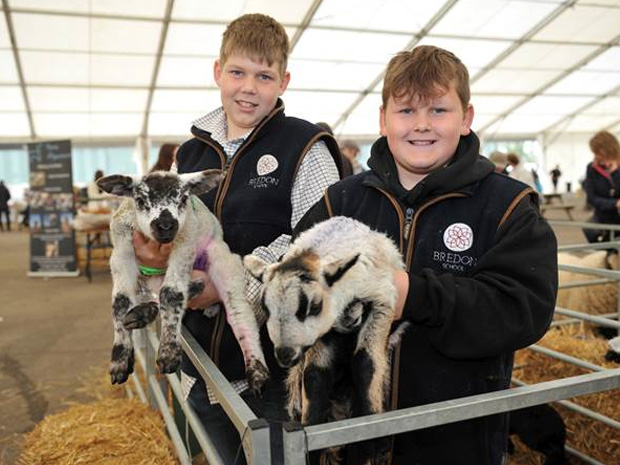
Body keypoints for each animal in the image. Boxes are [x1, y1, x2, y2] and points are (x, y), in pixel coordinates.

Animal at [97, 170, 268, 393]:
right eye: (140, 200)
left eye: (183, 199)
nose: (166, 225)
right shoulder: (122, 252)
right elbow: (120, 302)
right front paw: (120, 360)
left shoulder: (185, 243)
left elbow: (171, 293)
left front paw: (169, 352)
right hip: (153, 274)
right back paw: (146, 311)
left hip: (223, 259)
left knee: (239, 313)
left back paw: (257, 371)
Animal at [244, 216, 405, 464]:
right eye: (265, 307)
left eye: (313, 307)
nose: (285, 355)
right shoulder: (325, 334)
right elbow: (314, 375)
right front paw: (309, 433)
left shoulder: (382, 302)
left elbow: (366, 363)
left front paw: (372, 437)